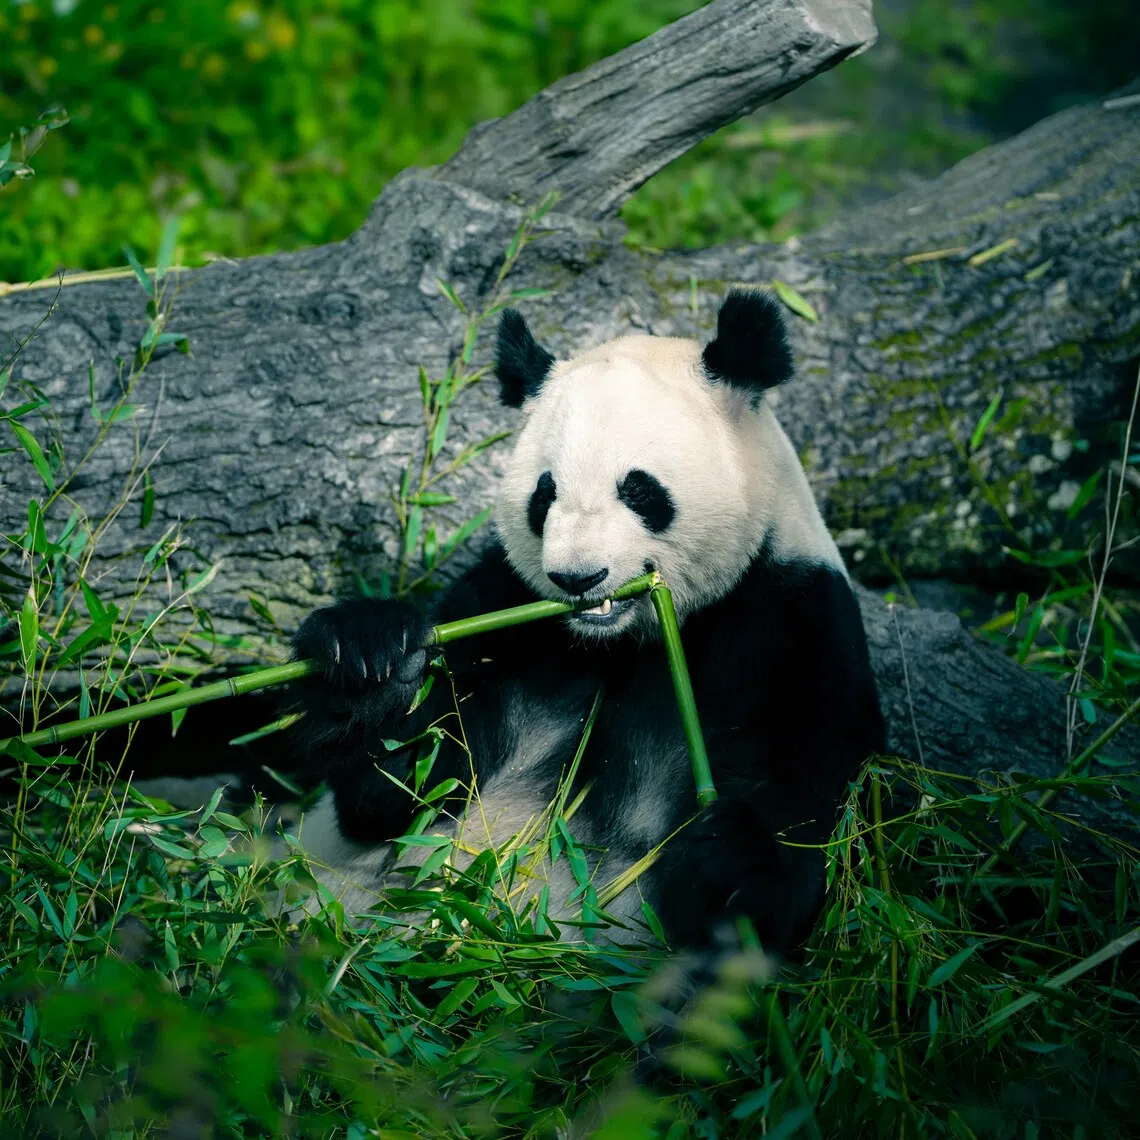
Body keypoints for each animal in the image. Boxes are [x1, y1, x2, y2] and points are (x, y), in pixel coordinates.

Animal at [288, 288, 884, 956]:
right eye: (544, 493)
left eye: (639, 489)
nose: (577, 577)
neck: (623, 641)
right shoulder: (502, 609)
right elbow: (405, 788)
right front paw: (371, 660)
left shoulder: (792, 622)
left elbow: (801, 805)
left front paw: (726, 864)